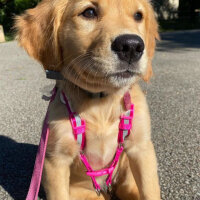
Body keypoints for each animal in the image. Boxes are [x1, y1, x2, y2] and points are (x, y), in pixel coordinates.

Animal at [15, 0, 159, 199]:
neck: (101, 102)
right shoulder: (55, 161)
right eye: (89, 12)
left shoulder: (142, 148)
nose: (131, 46)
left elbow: (150, 191)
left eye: (138, 15)